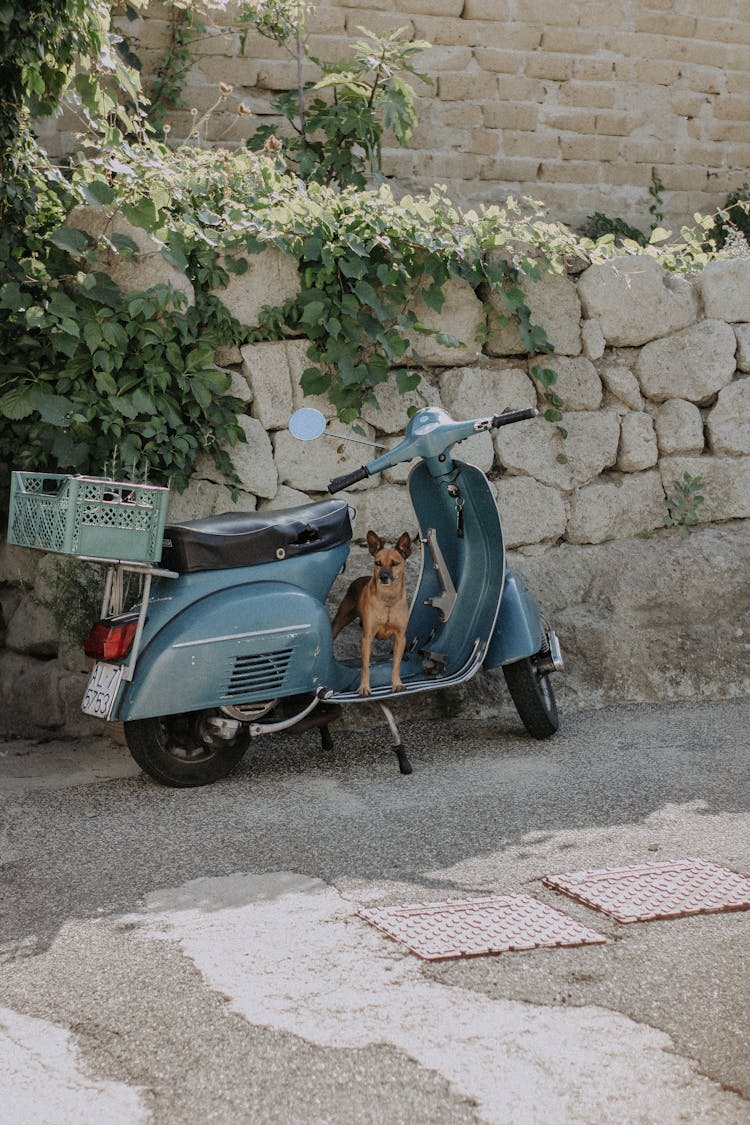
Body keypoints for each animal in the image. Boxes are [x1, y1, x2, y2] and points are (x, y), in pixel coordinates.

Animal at [332, 528, 413, 693]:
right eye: (378, 563)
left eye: (395, 563)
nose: (383, 577)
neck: (388, 600)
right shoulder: (367, 638)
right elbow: (365, 667)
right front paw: (364, 687)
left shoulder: (400, 638)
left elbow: (396, 664)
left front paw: (397, 683)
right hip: (341, 618)